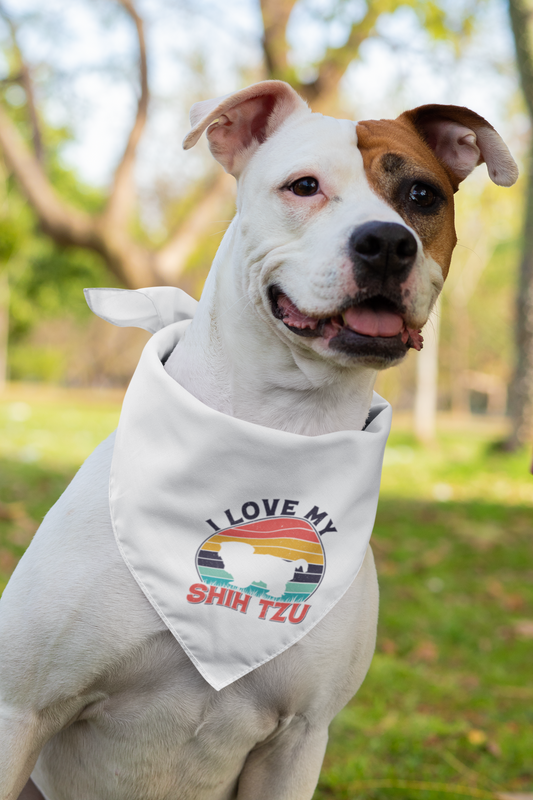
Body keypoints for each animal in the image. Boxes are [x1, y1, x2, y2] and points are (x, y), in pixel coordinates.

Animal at [0, 81, 516, 800]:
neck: (279, 426)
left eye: (421, 195)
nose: (387, 242)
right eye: (303, 186)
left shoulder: (298, 738)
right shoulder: (22, 709)